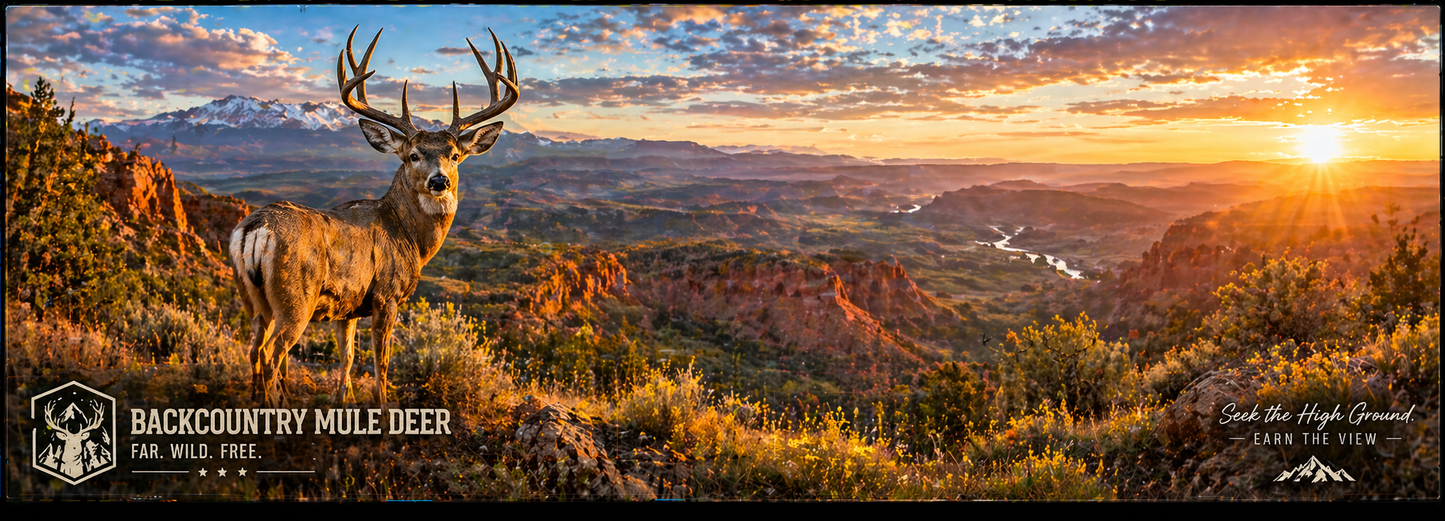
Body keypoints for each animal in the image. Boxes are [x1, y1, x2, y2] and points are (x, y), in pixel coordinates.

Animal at [228, 26, 519, 407]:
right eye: (413, 155)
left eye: (455, 155)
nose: (439, 181)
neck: (409, 236)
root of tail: (254, 229)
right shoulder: (386, 296)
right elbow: (382, 364)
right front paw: (383, 413)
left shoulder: (346, 307)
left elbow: (348, 358)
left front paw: (342, 402)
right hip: (294, 299)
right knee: (272, 355)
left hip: (252, 299)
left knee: (254, 350)